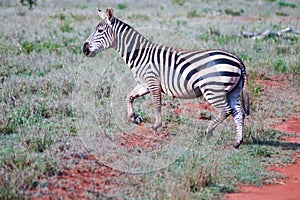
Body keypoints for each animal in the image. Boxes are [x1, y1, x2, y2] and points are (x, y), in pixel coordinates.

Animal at [83, 8, 250, 148]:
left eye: (99, 30)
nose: (84, 49)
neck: (140, 54)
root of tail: (238, 60)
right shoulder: (144, 84)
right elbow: (129, 96)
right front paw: (134, 118)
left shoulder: (152, 82)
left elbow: (157, 104)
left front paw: (155, 126)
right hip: (232, 90)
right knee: (238, 112)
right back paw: (237, 142)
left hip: (213, 89)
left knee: (225, 110)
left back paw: (208, 132)